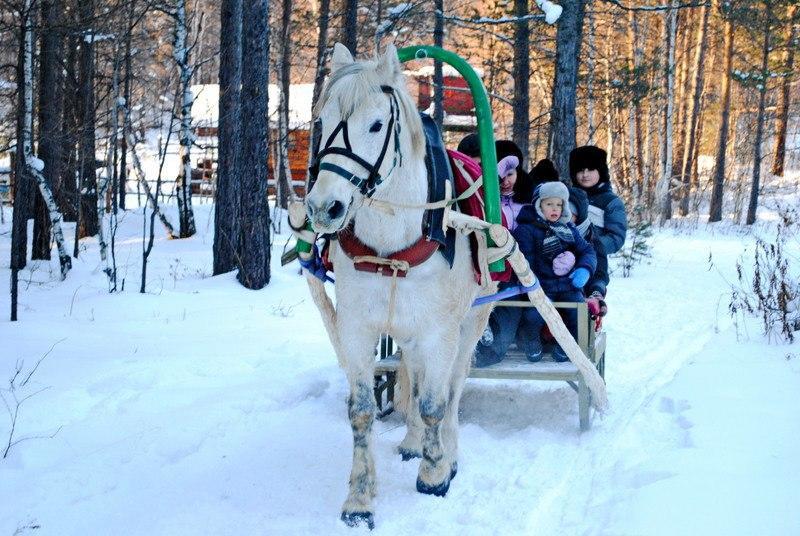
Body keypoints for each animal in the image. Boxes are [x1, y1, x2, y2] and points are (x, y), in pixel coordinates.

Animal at [304, 42, 496, 528]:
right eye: (321, 122)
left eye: (376, 124)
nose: (324, 207)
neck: (391, 243)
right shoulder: (357, 327)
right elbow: (361, 411)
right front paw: (360, 497)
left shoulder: (440, 331)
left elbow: (435, 402)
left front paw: (435, 474)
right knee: (413, 369)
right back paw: (411, 442)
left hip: (472, 320)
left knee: (454, 386)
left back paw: (449, 450)